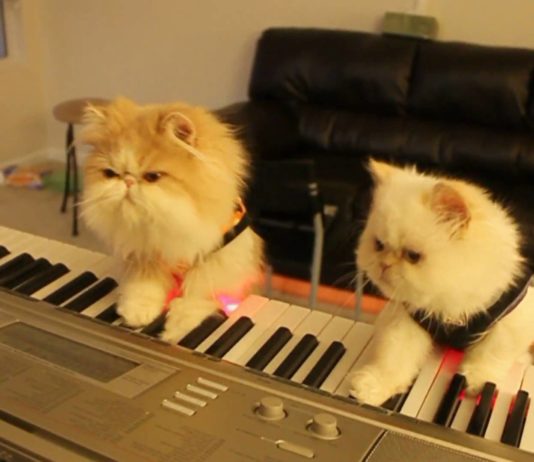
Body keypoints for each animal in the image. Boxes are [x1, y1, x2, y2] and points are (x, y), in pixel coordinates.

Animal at [80, 97, 263, 343]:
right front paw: (137, 314)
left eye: (152, 177)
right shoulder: (146, 257)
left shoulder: (216, 263)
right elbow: (144, 288)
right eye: (110, 174)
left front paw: (174, 330)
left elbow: (197, 295)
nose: (127, 182)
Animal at [350, 159, 534, 406]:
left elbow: (490, 356)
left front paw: (475, 382)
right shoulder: (404, 322)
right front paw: (372, 387)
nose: (384, 265)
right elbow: (393, 360)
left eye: (413, 256)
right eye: (379, 245)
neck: (446, 302)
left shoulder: (512, 324)